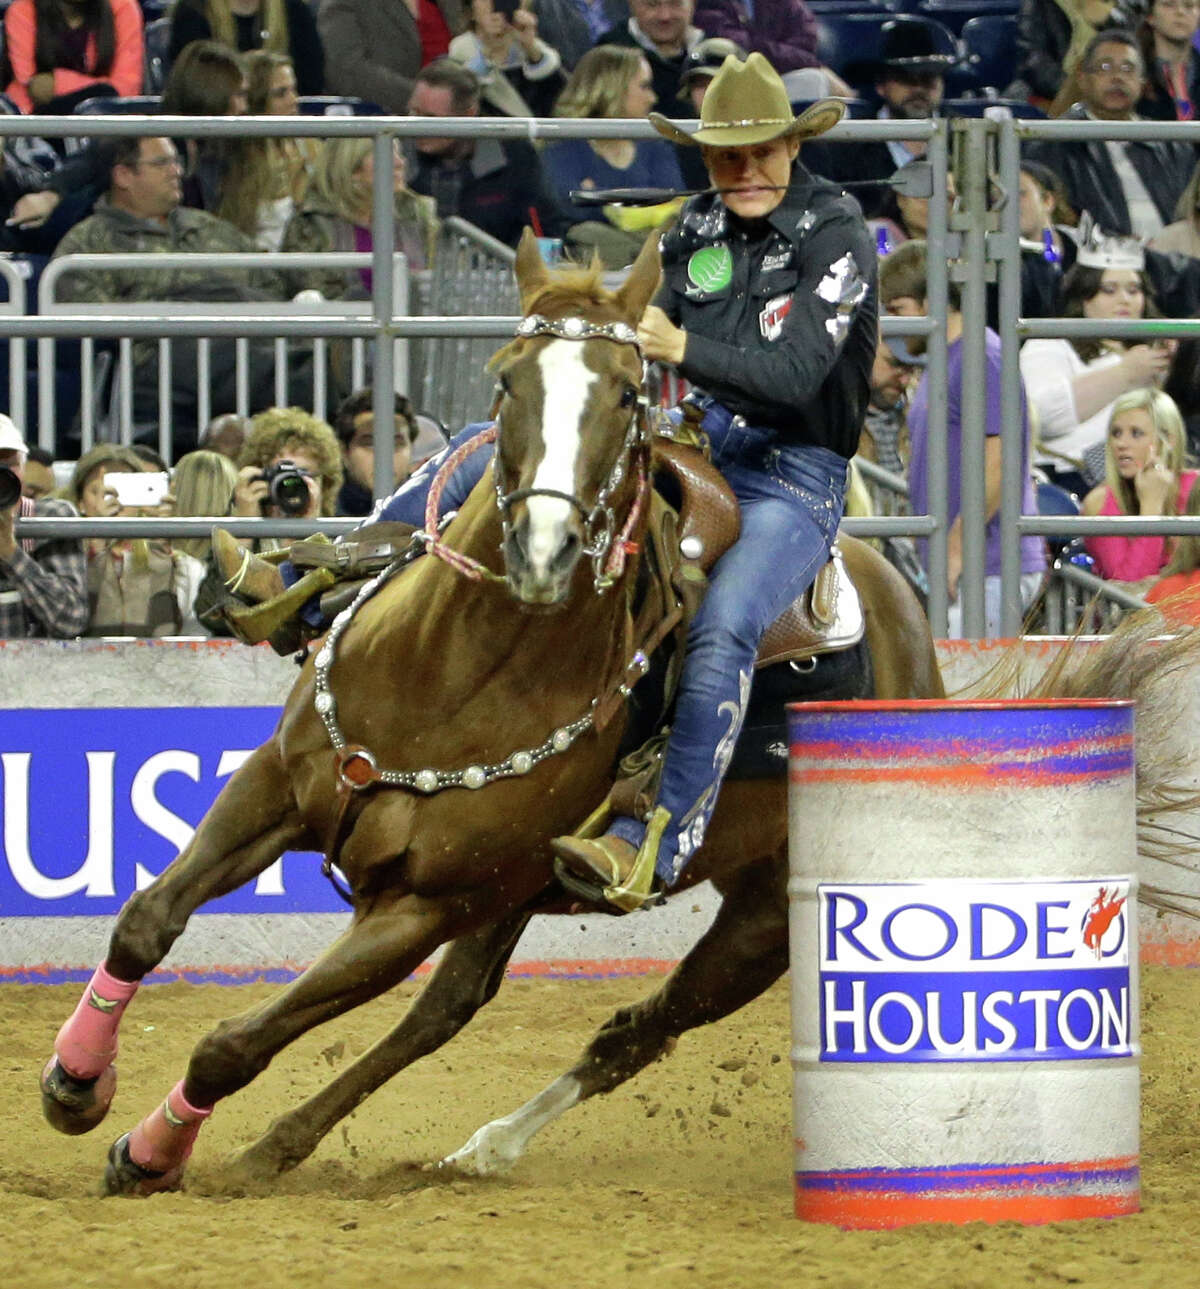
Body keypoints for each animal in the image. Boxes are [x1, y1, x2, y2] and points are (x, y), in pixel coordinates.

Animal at [40, 228, 946, 1194]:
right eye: (507, 378)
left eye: (627, 392)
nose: (543, 550)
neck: (447, 678)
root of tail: (913, 645)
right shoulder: (277, 788)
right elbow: (146, 921)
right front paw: (76, 1081)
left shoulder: (422, 904)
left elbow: (233, 1043)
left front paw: (149, 1150)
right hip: (514, 892)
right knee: (450, 1010)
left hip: (762, 913)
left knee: (633, 1029)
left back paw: (477, 1143)